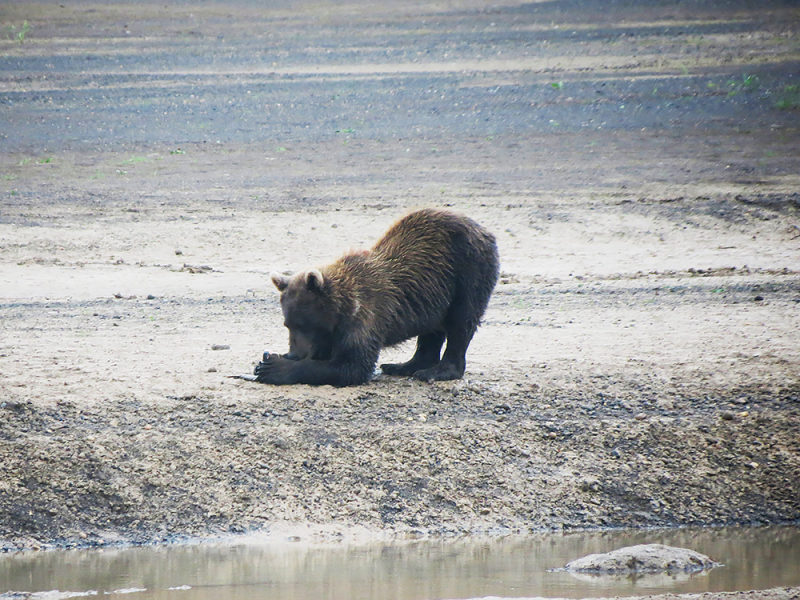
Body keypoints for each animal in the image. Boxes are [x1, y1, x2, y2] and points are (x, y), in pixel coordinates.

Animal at [253, 209, 496, 386]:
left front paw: (274, 367)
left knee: (462, 321)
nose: (294, 354)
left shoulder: (366, 314)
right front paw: (270, 359)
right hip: (434, 292)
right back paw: (403, 365)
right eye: (287, 324)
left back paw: (437, 371)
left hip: (469, 269)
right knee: (432, 329)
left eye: (304, 323)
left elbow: (352, 365)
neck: (341, 310)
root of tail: (483, 228)